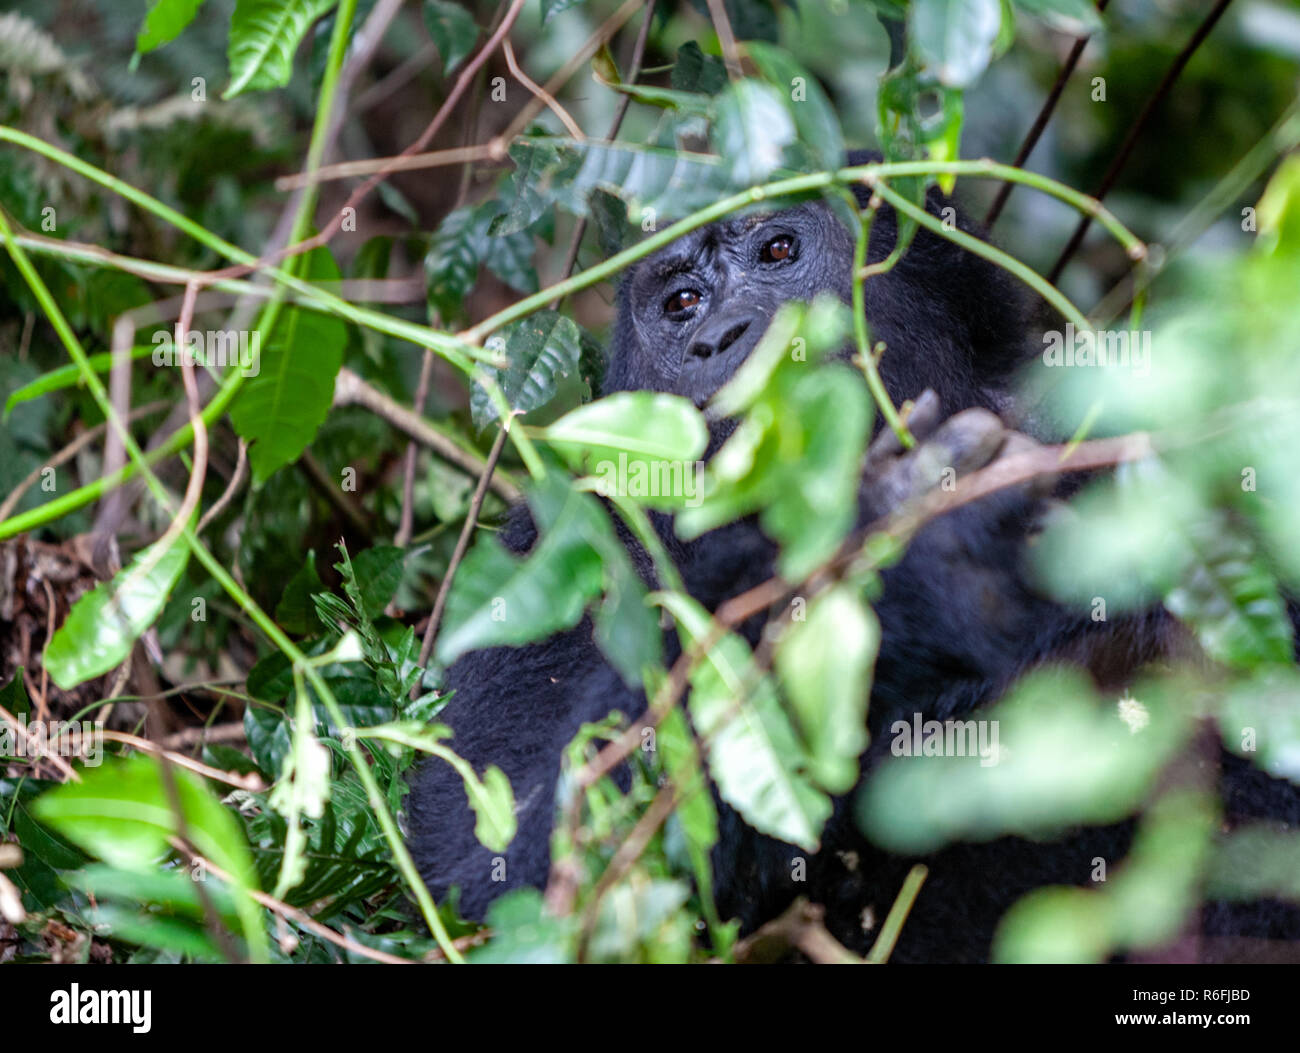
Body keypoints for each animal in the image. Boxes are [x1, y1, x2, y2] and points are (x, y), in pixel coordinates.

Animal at [405, 149, 1300, 961]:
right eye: (682, 301)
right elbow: (492, 876)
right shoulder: (563, 528)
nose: (719, 336)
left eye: (778, 252)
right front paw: (929, 564)